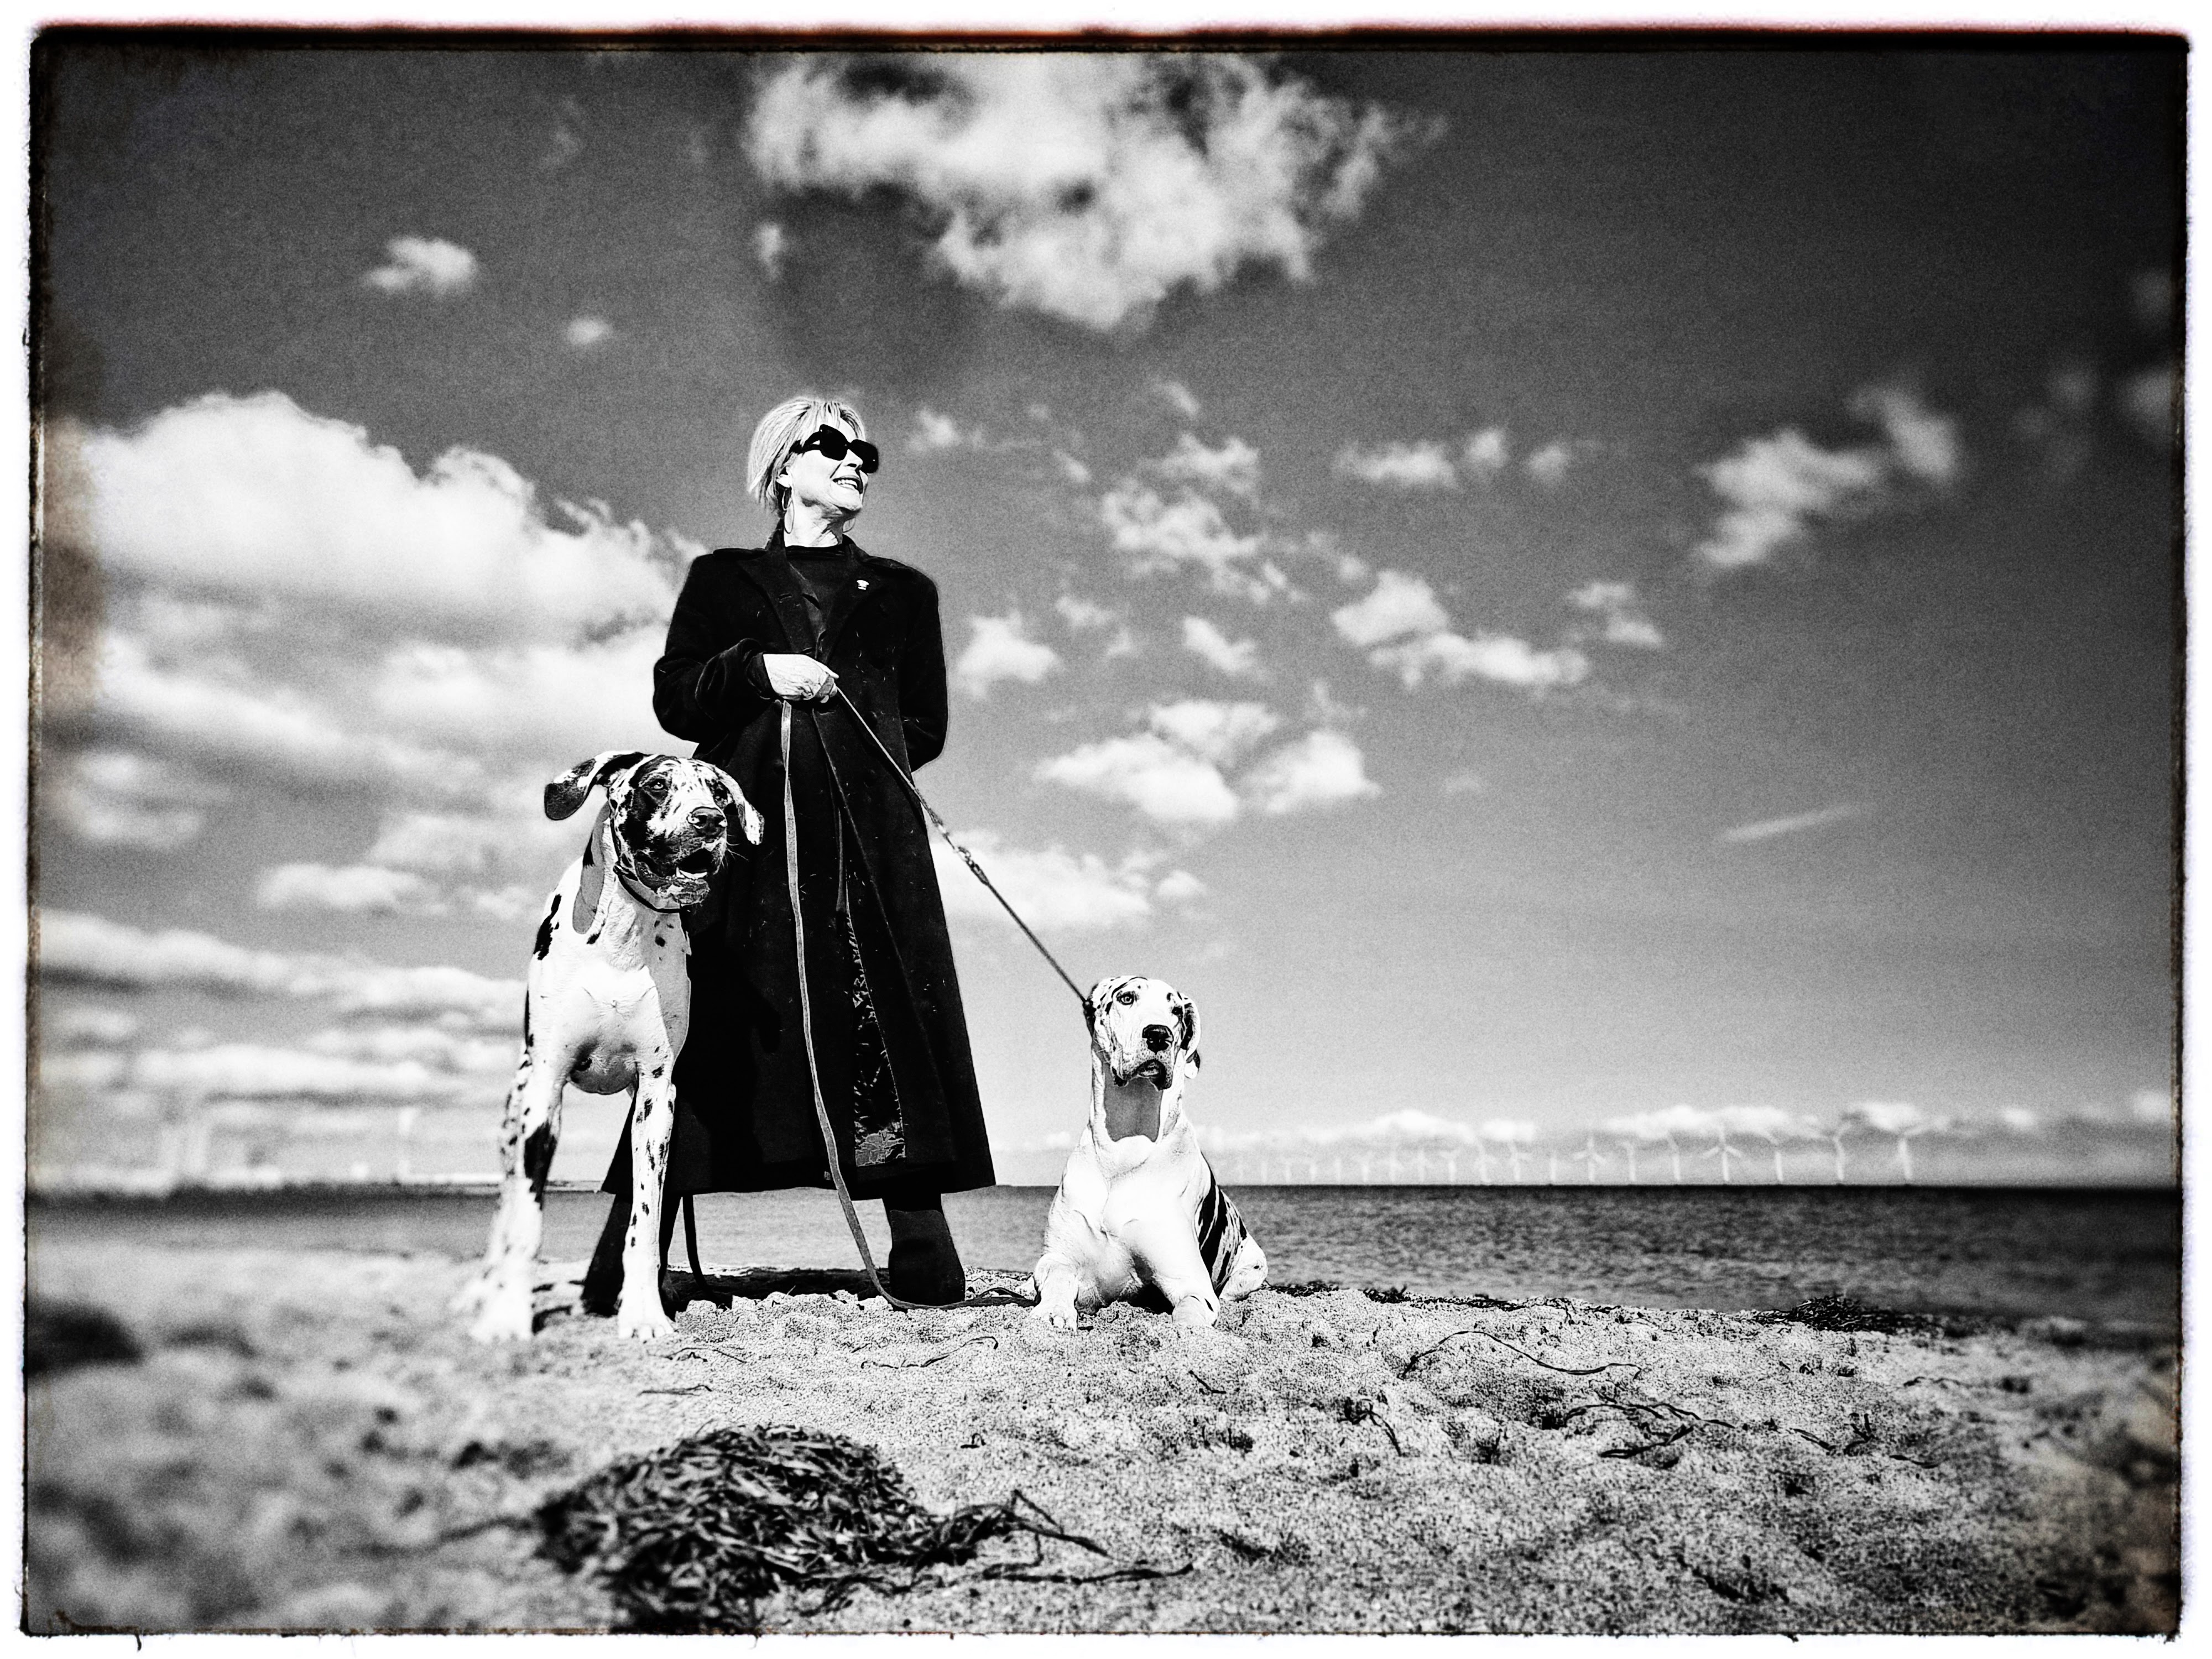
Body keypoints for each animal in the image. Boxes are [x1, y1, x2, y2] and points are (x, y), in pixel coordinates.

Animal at [457, 750, 761, 1344]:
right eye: (657, 785)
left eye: (718, 791)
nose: (710, 821)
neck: (622, 938)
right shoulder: (545, 1094)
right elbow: (527, 1223)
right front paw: (508, 1317)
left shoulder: (656, 1097)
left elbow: (643, 1221)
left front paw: (643, 1313)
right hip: (512, 1123)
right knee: (505, 1215)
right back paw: (484, 1292)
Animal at [1030, 974, 1267, 1331]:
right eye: (1127, 998)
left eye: (1177, 1012)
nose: (1159, 1034)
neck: (1125, 1149)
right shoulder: (1059, 1259)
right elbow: (1058, 1275)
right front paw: (1053, 1312)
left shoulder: (1192, 1285)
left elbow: (1187, 1317)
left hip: (1254, 1266)